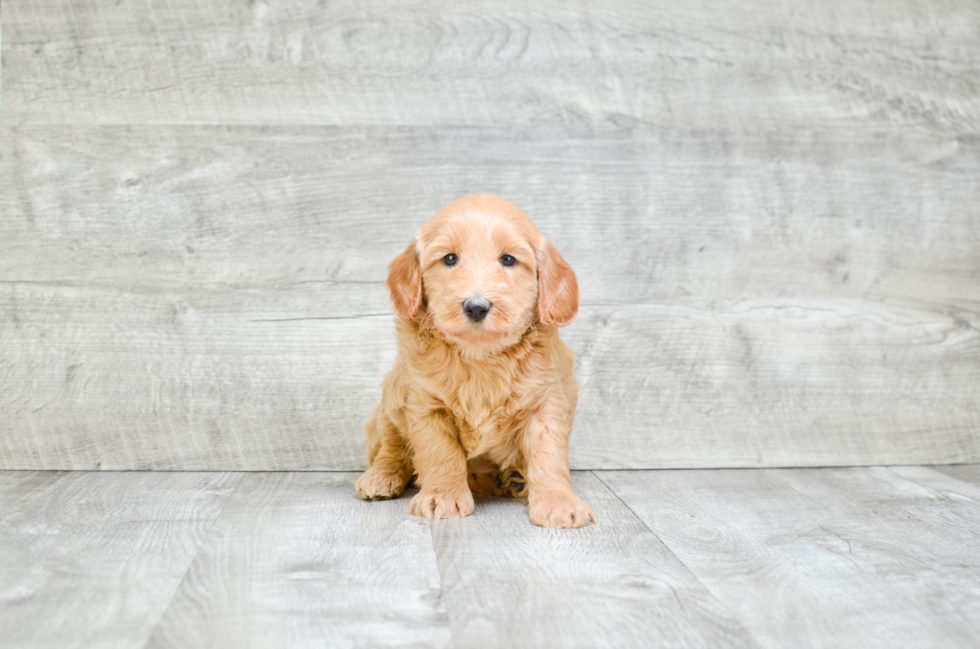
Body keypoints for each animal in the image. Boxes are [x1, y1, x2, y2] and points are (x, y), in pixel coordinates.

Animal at [354, 191, 596, 528]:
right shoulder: (425, 405)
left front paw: (558, 501)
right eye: (450, 259)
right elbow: (440, 452)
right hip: (391, 397)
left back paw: (512, 479)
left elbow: (548, 456)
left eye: (508, 259)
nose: (477, 306)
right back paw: (381, 477)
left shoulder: (545, 403)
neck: (480, 357)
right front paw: (442, 495)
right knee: (391, 446)